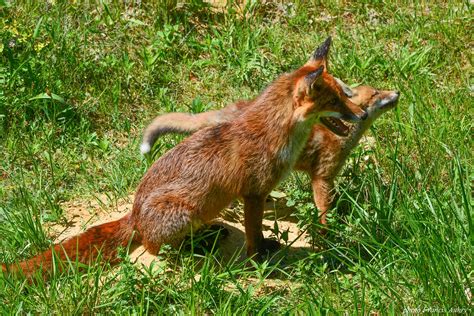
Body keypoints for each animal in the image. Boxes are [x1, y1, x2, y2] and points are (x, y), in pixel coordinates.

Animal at [1, 38, 368, 278]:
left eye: (344, 94)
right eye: (335, 101)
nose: (363, 114)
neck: (273, 132)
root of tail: (134, 213)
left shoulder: (258, 193)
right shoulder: (253, 193)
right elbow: (253, 235)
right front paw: (260, 258)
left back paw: (208, 236)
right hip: (185, 211)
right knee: (155, 249)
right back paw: (192, 248)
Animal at [142, 84, 400, 226]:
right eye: (376, 93)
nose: (398, 91)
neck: (341, 134)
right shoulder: (322, 177)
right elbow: (324, 209)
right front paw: (328, 230)